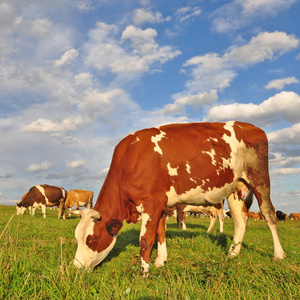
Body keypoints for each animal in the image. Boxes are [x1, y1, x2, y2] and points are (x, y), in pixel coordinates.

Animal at [74, 120, 284, 274]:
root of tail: (252, 127)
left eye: (92, 239)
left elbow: (145, 239)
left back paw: (279, 254)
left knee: (269, 214)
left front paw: (144, 271)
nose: (75, 267)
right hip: (235, 187)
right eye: (77, 238)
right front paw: (160, 261)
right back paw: (232, 254)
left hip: (259, 179)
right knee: (241, 219)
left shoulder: (151, 203)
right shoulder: (160, 203)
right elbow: (160, 233)